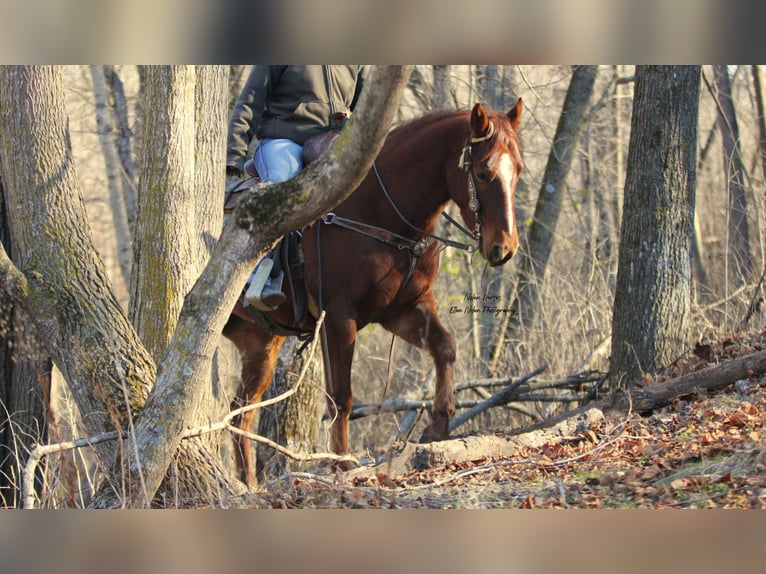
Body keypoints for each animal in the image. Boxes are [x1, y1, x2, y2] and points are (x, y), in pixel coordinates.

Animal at [222, 100, 520, 486]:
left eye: (518, 171)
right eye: (483, 173)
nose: (505, 247)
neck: (378, 211)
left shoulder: (404, 309)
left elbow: (445, 347)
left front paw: (437, 426)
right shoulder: (337, 318)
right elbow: (341, 396)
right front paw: (342, 463)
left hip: (260, 346)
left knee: (240, 412)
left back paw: (248, 485)